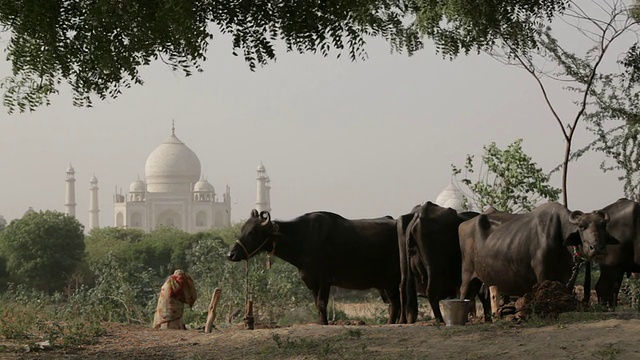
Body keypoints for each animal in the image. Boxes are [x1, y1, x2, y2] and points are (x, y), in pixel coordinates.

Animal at [229, 208, 400, 324]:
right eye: (242, 229)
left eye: (253, 232)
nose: (231, 254)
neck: (302, 239)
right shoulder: (311, 281)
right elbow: (317, 305)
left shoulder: (324, 280)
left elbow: (322, 303)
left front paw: (324, 323)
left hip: (392, 281)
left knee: (395, 305)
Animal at [458, 202, 616, 312]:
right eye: (582, 226)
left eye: (603, 225)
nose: (597, 248)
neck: (561, 238)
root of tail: (464, 224)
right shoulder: (541, 272)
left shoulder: (570, 275)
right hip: (467, 272)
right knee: (463, 293)